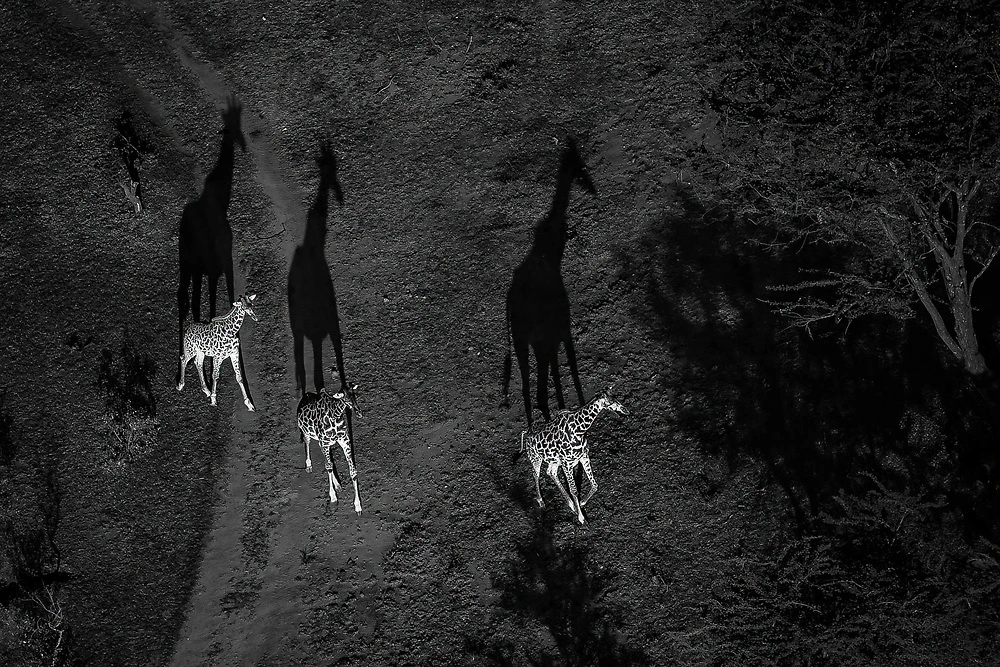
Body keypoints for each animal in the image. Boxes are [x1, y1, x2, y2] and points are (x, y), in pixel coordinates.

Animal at [298, 378, 366, 516]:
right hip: (308, 434)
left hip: (323, 443)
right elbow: (328, 466)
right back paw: (308, 465)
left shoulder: (344, 441)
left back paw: (338, 485)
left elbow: (352, 471)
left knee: (328, 460)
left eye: (355, 396)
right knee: (308, 444)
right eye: (345, 398)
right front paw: (333, 496)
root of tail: (306, 395)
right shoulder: (324, 442)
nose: (359, 413)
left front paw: (358, 506)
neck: (335, 415)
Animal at [500, 137, 592, 428]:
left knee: (532, 391)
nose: (593, 189)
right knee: (535, 392)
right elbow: (571, 376)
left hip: (523, 342)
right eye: (581, 168)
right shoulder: (559, 333)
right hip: (530, 342)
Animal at [520, 388, 628, 524]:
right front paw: (581, 518)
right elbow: (574, 490)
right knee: (536, 475)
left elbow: (595, 485)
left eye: (616, 398)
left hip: (554, 461)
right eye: (610, 402)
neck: (579, 430)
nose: (625, 410)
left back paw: (571, 504)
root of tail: (527, 434)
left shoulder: (583, 456)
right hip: (536, 458)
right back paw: (541, 502)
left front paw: (581, 504)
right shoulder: (567, 464)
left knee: (551, 472)